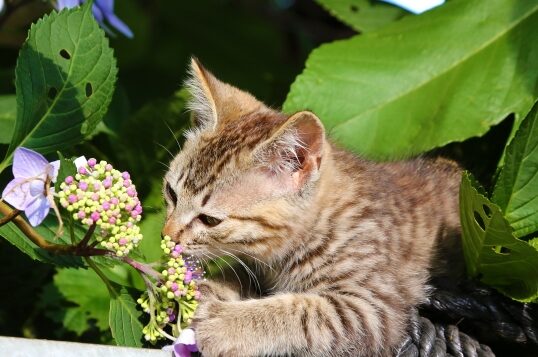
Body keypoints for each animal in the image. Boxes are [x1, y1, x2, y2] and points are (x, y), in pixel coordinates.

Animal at [161, 59, 458, 356]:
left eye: (210, 220)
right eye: (171, 193)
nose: (168, 236)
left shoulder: (373, 308)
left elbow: (301, 312)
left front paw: (222, 322)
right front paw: (206, 289)